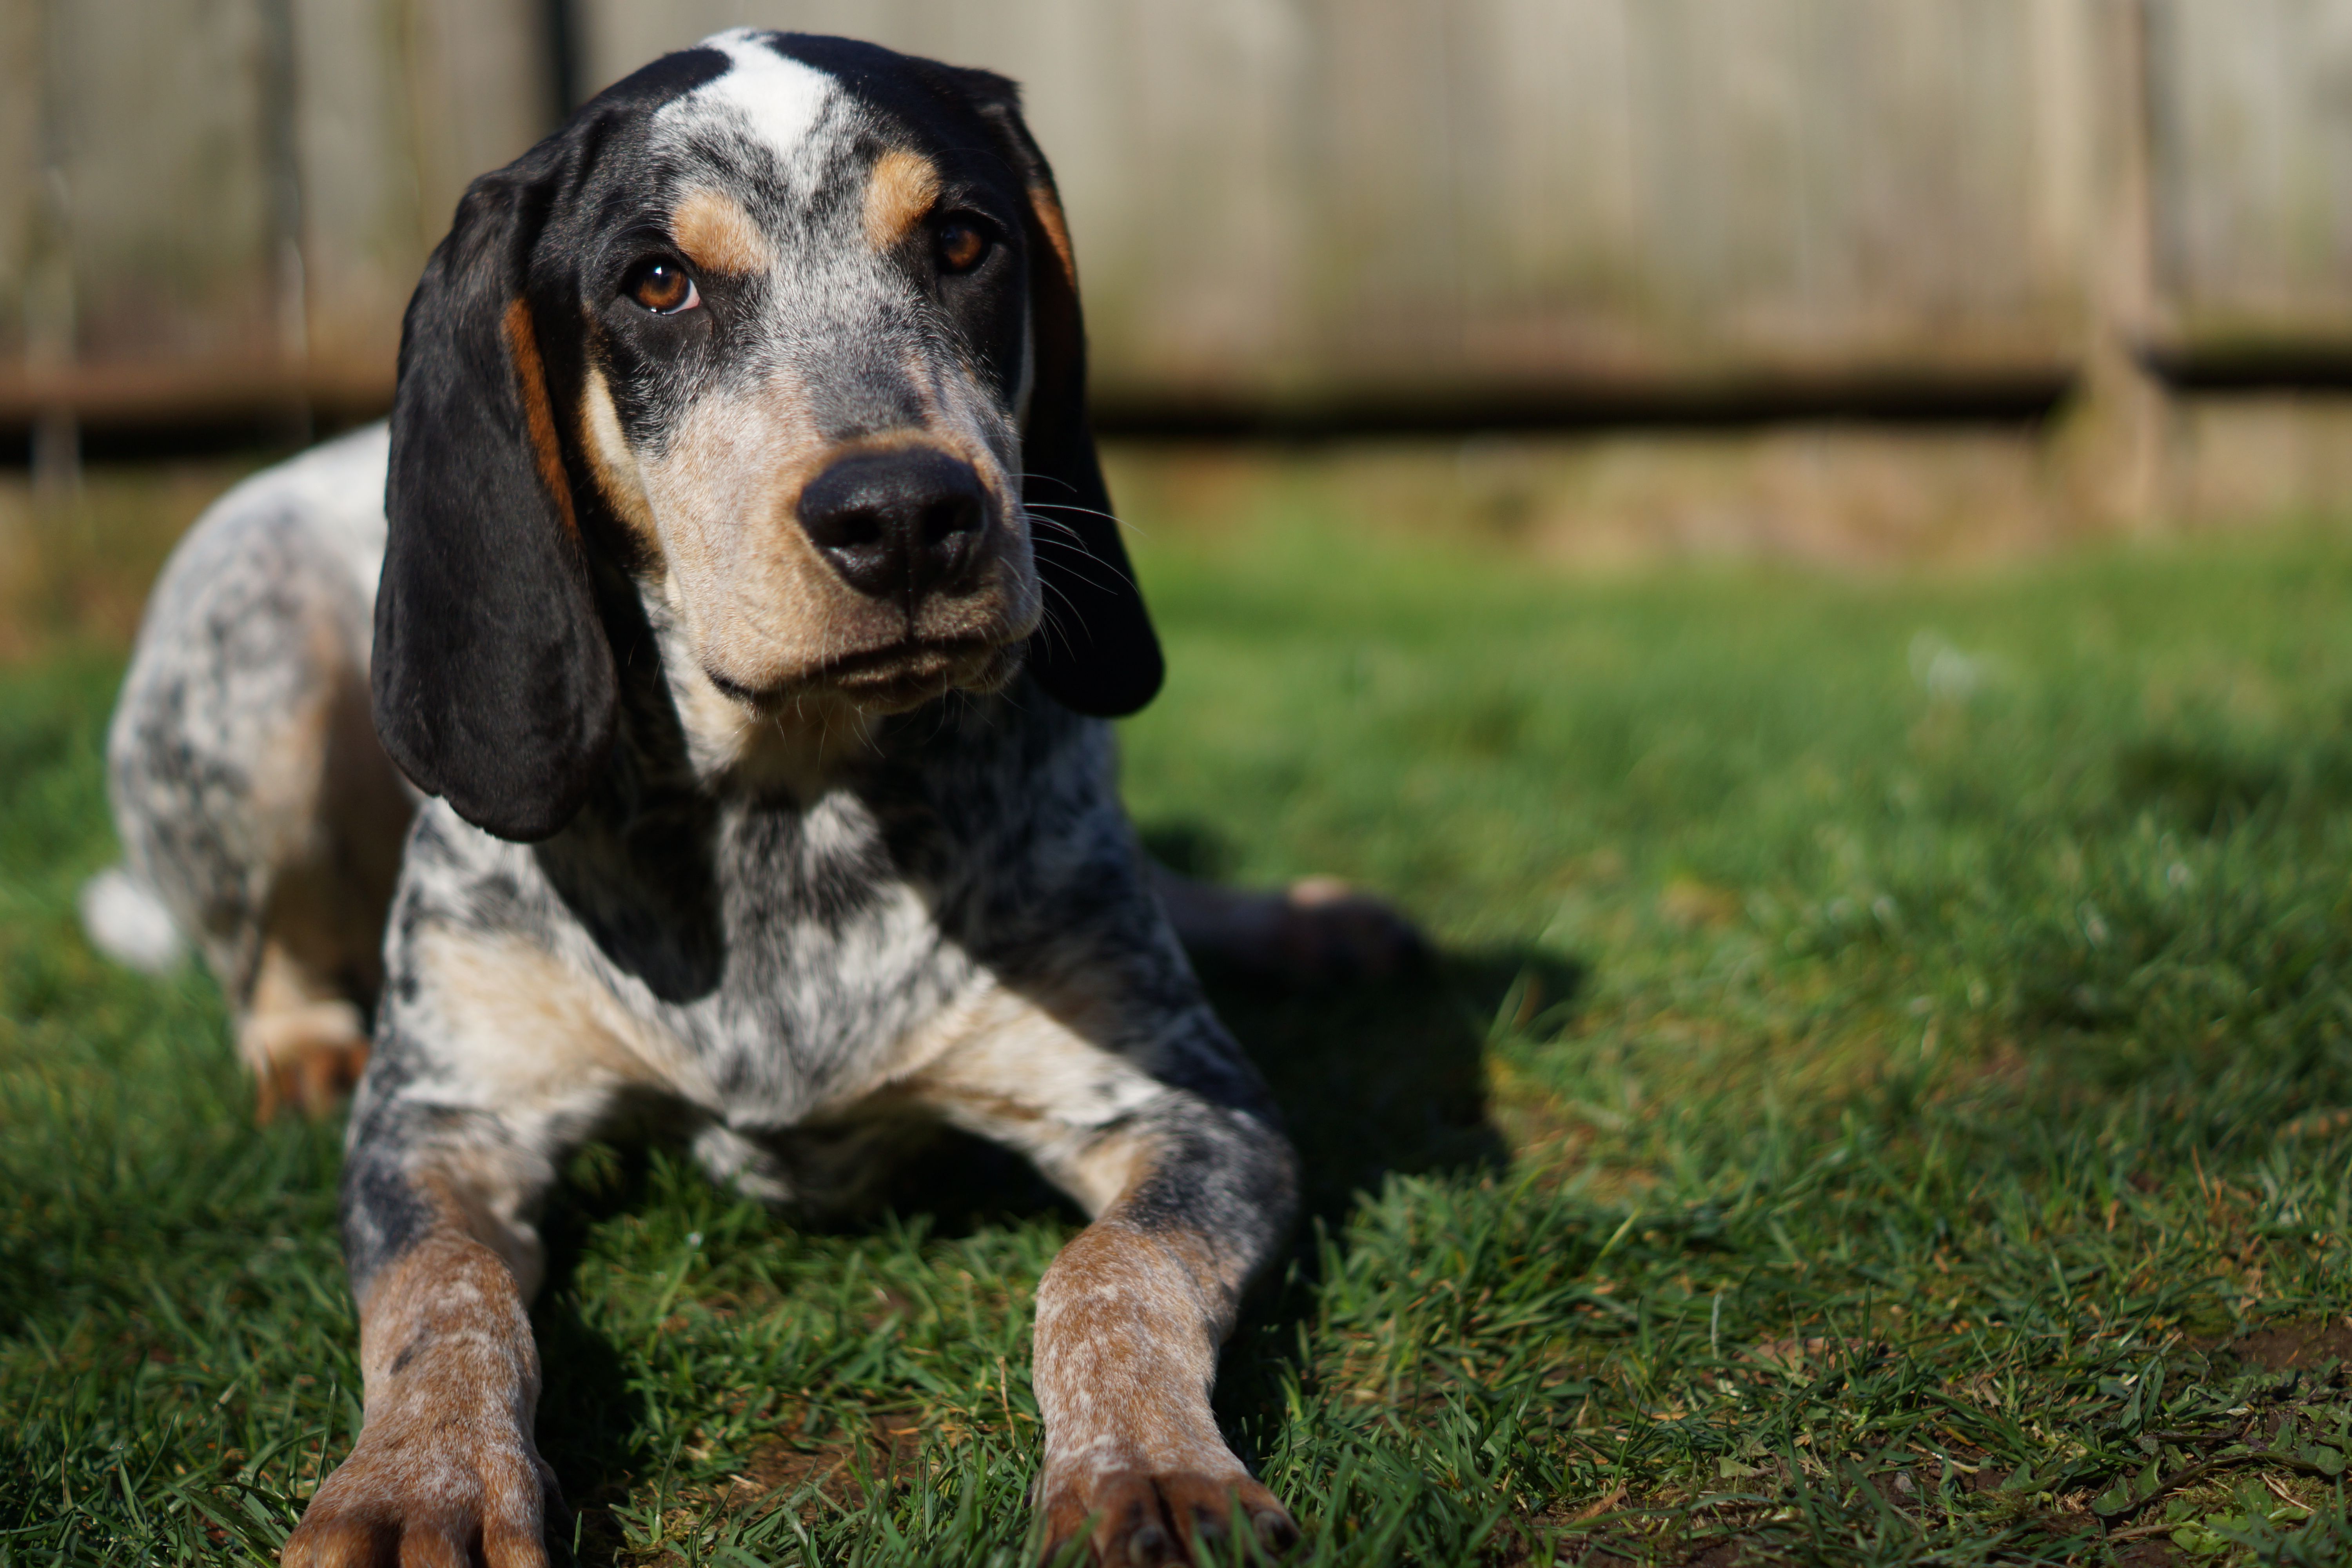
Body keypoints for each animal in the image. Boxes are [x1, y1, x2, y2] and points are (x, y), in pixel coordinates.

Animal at [92, 27, 1421, 1568]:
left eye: (963, 241)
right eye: (658, 280)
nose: (904, 515)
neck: (788, 799)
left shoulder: (1196, 1111)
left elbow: (1107, 1275)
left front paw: (1150, 1467)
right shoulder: (438, 1123)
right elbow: (447, 1302)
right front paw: (417, 1481)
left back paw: (1309, 923)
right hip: (247, 660)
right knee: (265, 956)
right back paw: (301, 1045)